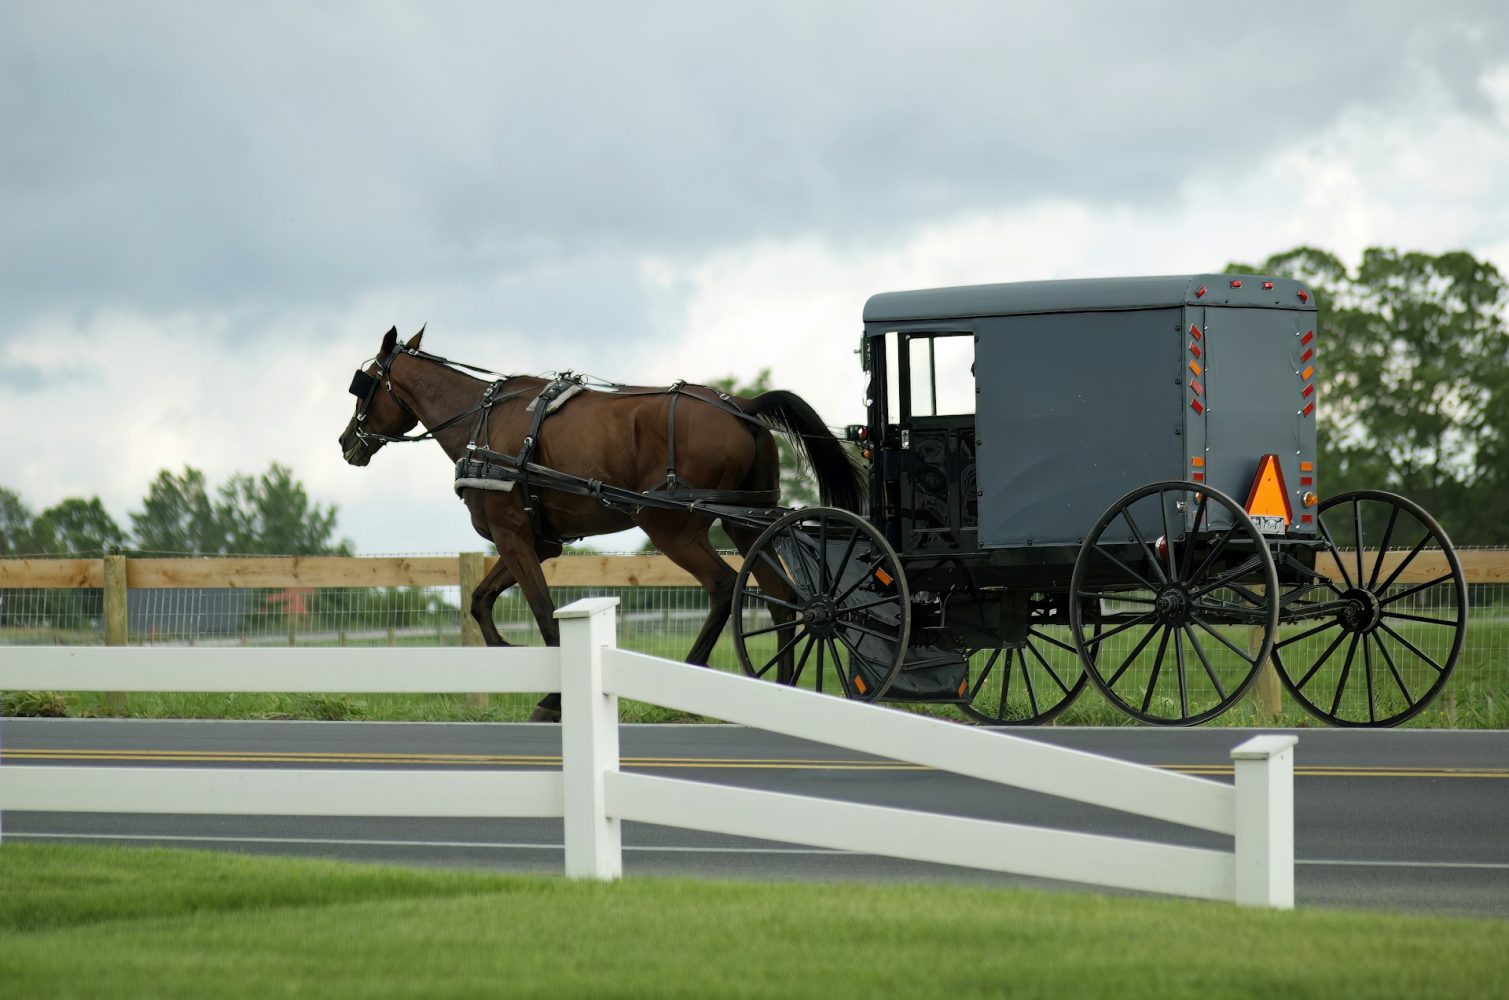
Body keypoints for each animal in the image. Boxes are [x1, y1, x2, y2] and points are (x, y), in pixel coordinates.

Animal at [337, 326, 864, 720]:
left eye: (364, 383)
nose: (347, 442)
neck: (481, 426)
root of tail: (744, 407)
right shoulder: (538, 541)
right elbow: (481, 600)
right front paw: (506, 649)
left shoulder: (513, 536)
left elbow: (542, 613)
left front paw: (553, 699)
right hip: (747, 522)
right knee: (781, 597)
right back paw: (782, 686)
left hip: (672, 527)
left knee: (722, 586)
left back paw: (692, 675)